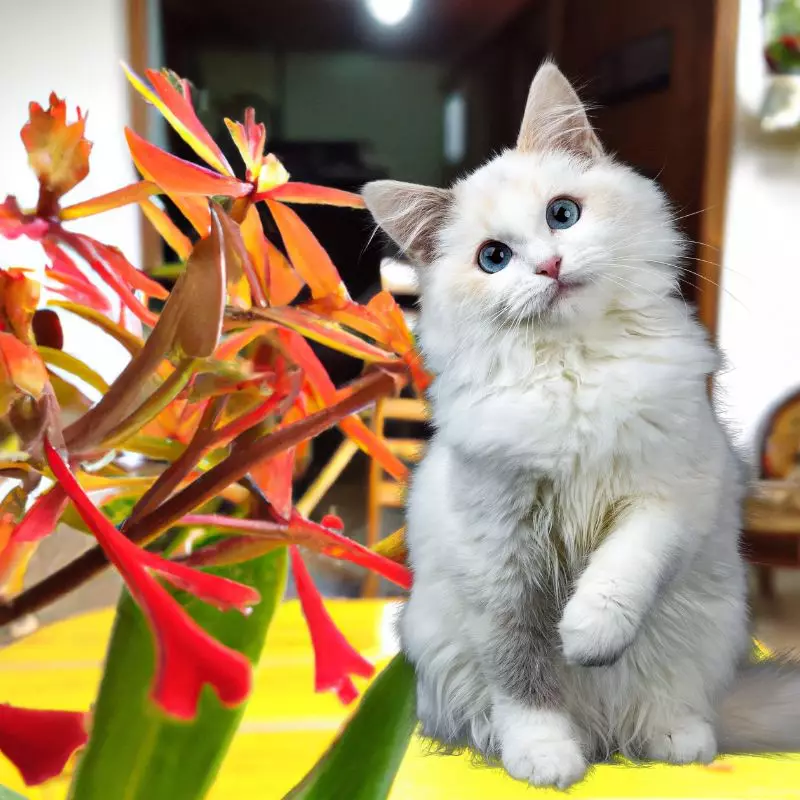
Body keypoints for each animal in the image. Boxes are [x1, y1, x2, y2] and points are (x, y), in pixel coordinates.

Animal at [366, 62, 800, 788]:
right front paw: (544, 756)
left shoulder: (669, 495)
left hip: (704, 627)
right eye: (493, 258)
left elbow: (623, 572)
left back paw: (678, 741)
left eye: (562, 215)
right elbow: (523, 675)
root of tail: (607, 735)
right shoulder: (502, 558)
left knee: (673, 705)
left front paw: (587, 636)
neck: (575, 370)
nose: (550, 266)